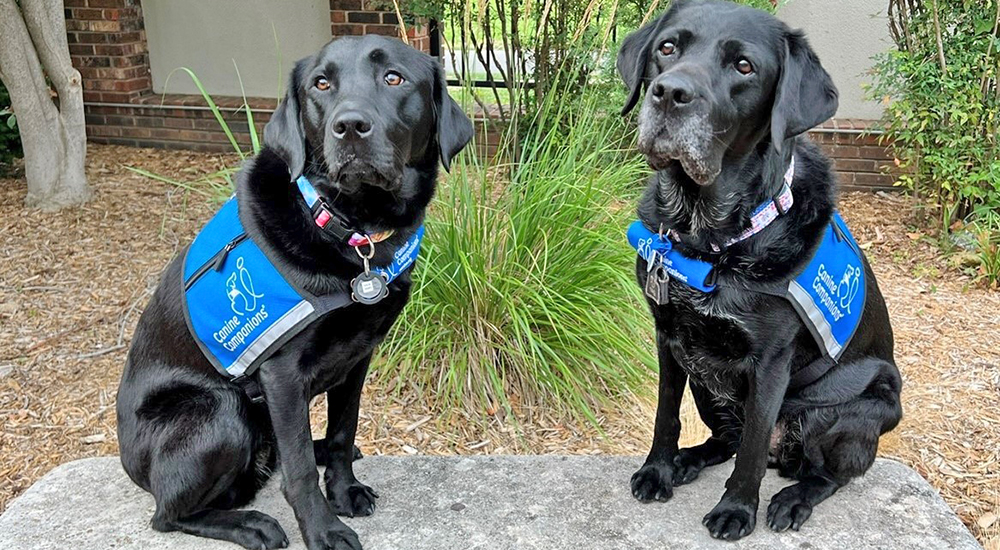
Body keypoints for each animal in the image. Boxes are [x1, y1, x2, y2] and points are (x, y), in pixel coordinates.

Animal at [115, 36, 474, 550]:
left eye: (394, 78)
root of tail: (131, 466)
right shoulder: (281, 374)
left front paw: (343, 490)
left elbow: (343, 430)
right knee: (168, 513)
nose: (349, 126)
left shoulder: (358, 356)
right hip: (221, 411)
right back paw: (251, 525)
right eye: (320, 84)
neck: (348, 228)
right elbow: (299, 468)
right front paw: (323, 530)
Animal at [620, 0, 904, 544]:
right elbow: (666, 416)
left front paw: (735, 509)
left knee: (822, 474)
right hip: (707, 384)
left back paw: (793, 499)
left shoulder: (770, 363)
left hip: (849, 410)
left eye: (744, 66)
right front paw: (658, 470)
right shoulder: (669, 338)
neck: (707, 234)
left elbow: (752, 447)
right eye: (667, 47)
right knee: (724, 440)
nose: (669, 93)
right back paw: (689, 461)